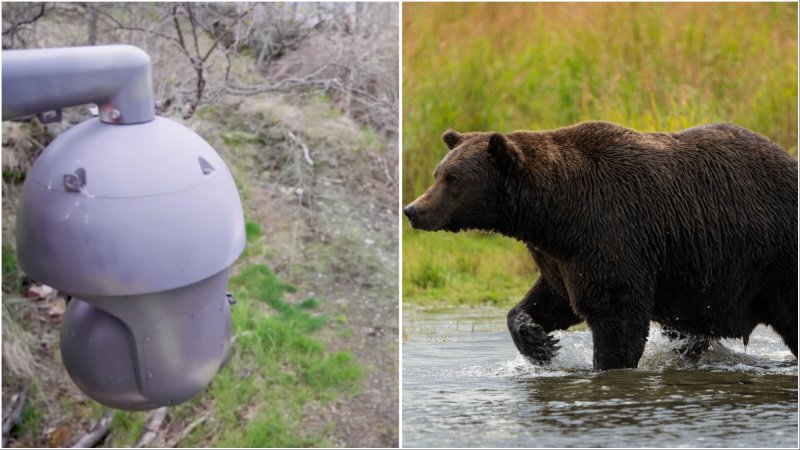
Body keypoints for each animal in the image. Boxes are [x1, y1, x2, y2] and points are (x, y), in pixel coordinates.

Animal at [406, 121, 800, 370]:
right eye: (438, 174)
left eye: (453, 179)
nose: (413, 210)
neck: (553, 213)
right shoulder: (561, 256)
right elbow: (553, 300)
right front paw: (539, 342)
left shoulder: (611, 233)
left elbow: (616, 315)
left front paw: (606, 366)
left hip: (774, 260)